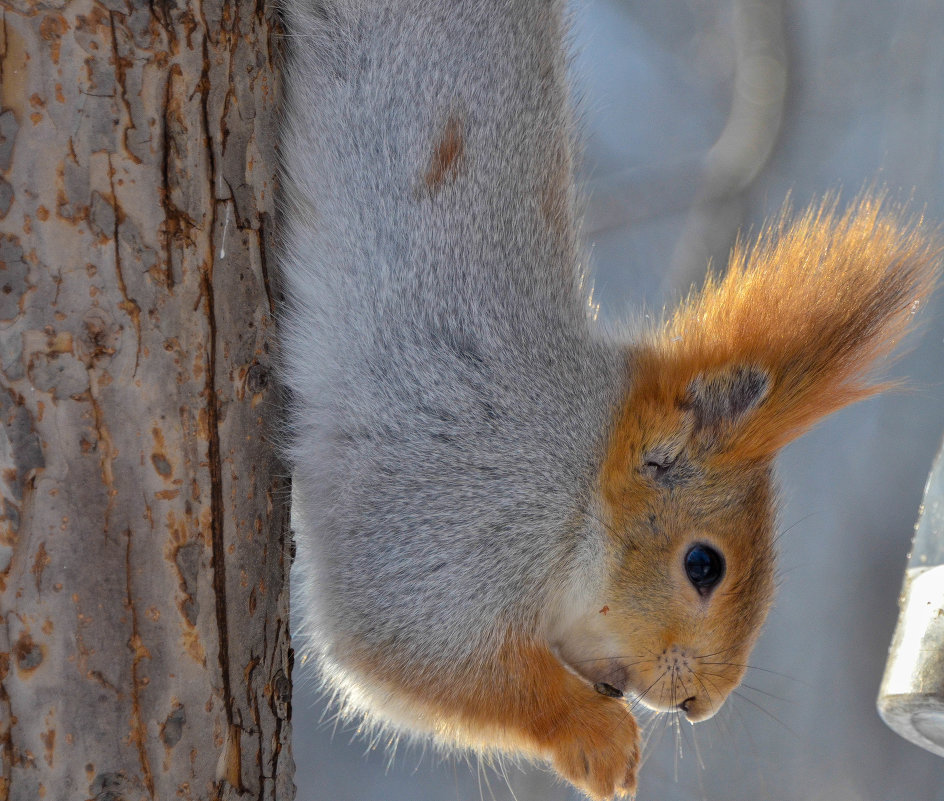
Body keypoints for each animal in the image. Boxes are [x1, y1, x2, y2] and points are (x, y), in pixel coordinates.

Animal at [276, 1, 940, 800]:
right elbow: (416, 648)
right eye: (703, 565)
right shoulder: (458, 513)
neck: (580, 469)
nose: (703, 704)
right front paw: (595, 735)